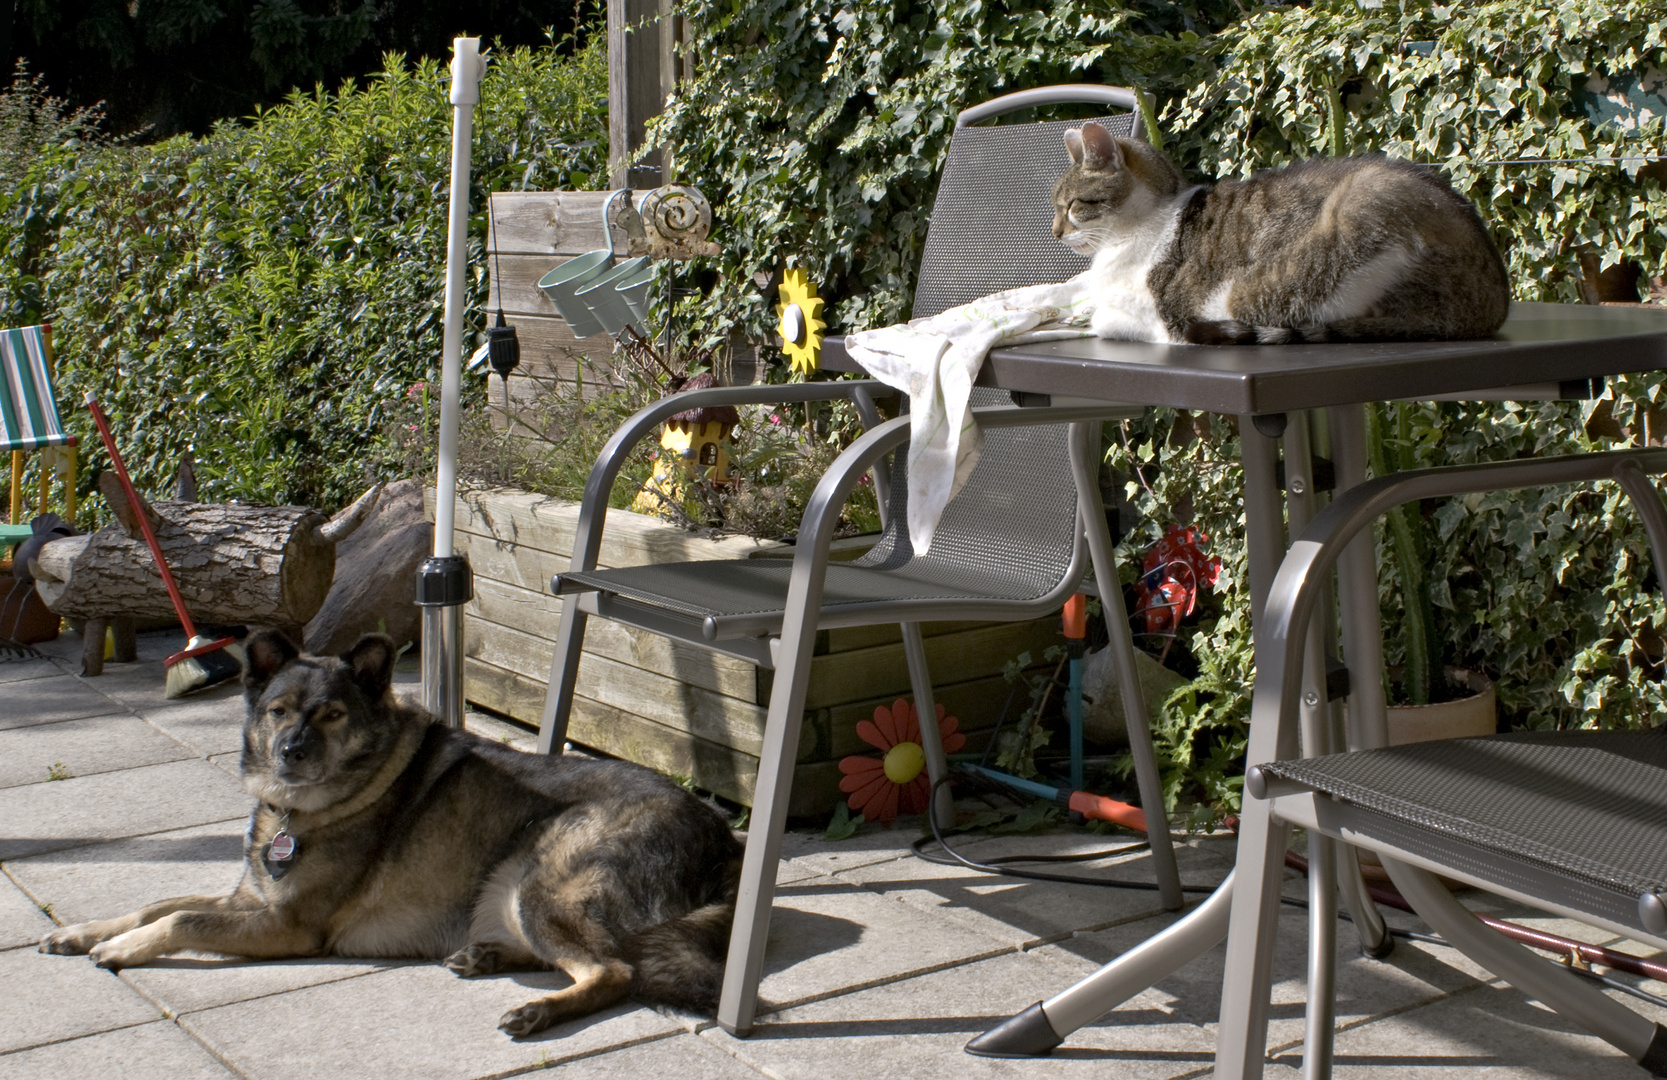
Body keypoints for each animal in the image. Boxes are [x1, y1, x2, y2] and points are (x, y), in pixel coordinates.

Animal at [40, 633, 743, 1040]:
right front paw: (86, 931)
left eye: (332, 714)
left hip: (537, 878)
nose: (291, 753)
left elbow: (180, 919)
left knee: (615, 968)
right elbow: (158, 903)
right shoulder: (251, 900)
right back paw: (485, 956)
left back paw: (536, 1011)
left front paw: (121, 948)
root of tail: (722, 837)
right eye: (277, 712)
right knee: (585, 956)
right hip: (513, 887)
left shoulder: (288, 927)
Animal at [1053, 125, 1513, 348]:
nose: (1055, 232)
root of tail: (1492, 306)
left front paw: (1084, 315)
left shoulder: (1163, 317)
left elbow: (1105, 320)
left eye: (1071, 205)